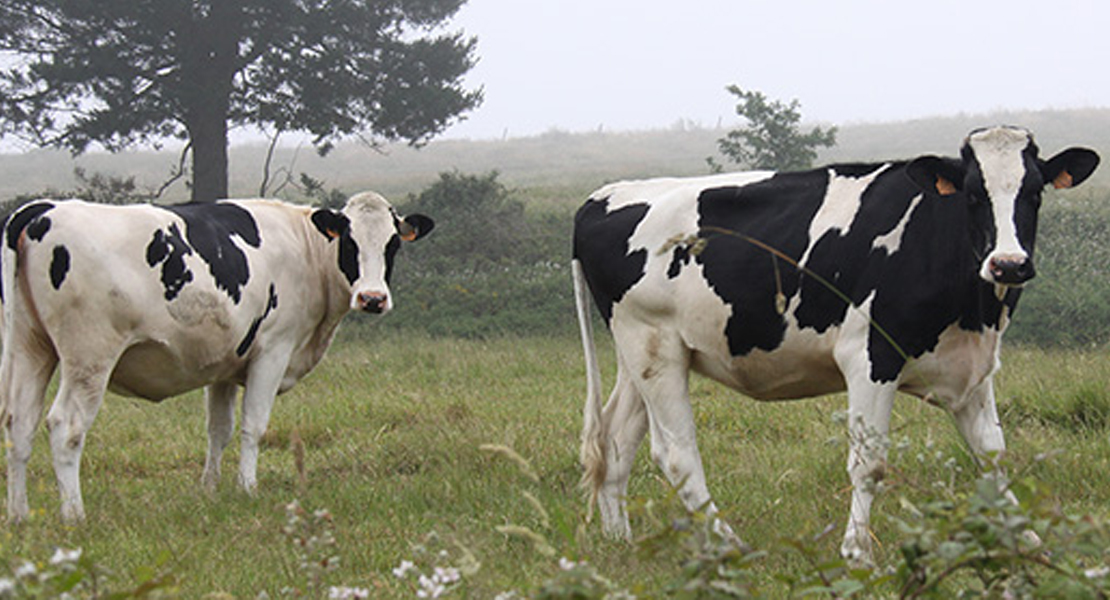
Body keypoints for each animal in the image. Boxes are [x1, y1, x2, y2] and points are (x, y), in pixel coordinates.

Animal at [0, 190, 432, 519]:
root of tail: (41, 209)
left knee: (20, 423)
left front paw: (209, 490)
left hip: (30, 348)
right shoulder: (273, 350)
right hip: (89, 357)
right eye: (349, 242)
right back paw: (74, 514)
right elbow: (253, 426)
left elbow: (219, 429)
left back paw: (20, 515)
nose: (372, 298)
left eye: (392, 244)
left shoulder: (225, 363)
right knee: (65, 426)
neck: (304, 247)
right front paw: (248, 488)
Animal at [577, 126, 1096, 561]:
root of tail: (604, 195)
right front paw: (857, 551)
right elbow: (869, 464)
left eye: (1035, 192)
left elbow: (992, 456)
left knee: (616, 440)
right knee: (676, 454)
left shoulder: (972, 365)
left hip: (642, 354)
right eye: (972, 194)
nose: (1008, 264)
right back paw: (730, 545)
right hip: (654, 345)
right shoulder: (869, 358)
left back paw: (619, 540)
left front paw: (1027, 539)